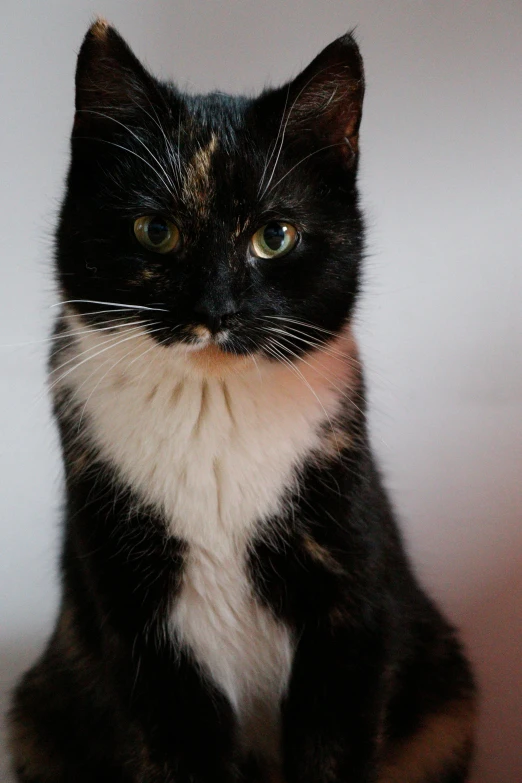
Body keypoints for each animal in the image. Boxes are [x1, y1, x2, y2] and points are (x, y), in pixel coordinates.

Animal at [8, 16, 474, 783]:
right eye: (155, 230)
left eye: (273, 236)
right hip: (38, 715)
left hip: (447, 700)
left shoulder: (351, 619)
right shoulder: (140, 634)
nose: (215, 309)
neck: (211, 405)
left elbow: (334, 745)